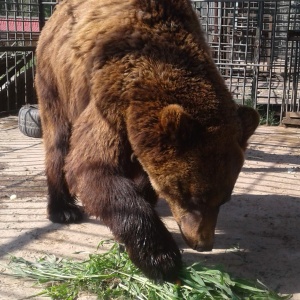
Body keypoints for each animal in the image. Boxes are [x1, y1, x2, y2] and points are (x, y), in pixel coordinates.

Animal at [35, 0, 260, 282]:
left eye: (224, 199)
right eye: (193, 198)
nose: (203, 243)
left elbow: (144, 181)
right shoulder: (108, 104)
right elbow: (91, 167)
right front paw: (161, 257)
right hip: (55, 79)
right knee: (58, 140)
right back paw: (63, 209)